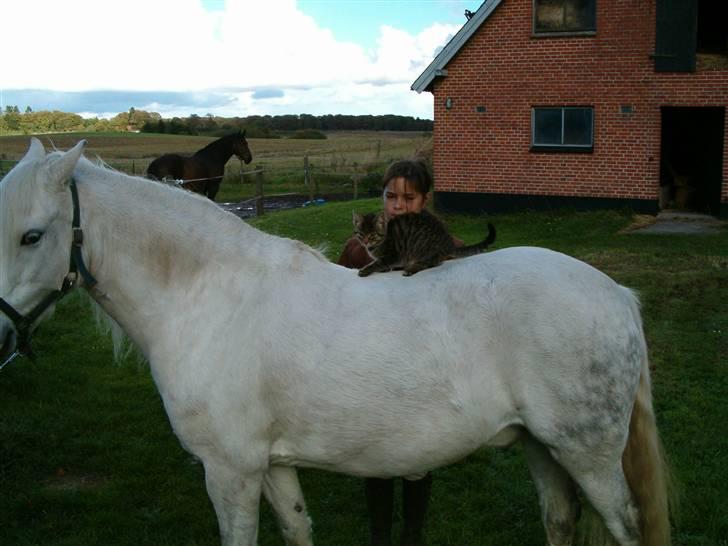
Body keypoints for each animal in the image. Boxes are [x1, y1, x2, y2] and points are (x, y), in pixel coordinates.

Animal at [352, 208, 494, 276]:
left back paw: (411, 269)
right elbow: (381, 264)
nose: (365, 242)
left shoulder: (393, 255)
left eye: (372, 235)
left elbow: (378, 263)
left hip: (423, 249)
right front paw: (383, 270)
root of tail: (448, 242)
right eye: (361, 234)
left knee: (431, 263)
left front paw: (365, 270)